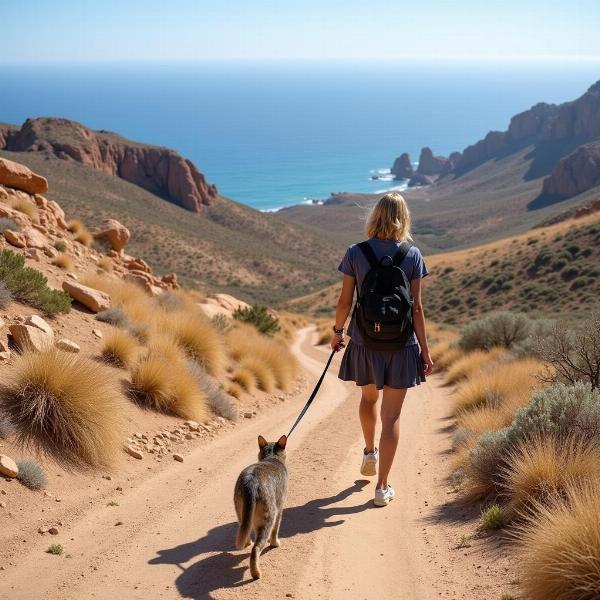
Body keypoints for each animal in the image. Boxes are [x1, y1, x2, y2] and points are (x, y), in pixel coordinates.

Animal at [234, 434, 288, 580]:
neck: (272, 456)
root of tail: (251, 483)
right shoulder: (280, 508)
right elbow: (276, 529)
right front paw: (275, 543)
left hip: (241, 514)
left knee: (244, 530)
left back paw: (247, 543)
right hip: (268, 517)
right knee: (256, 549)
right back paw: (256, 573)